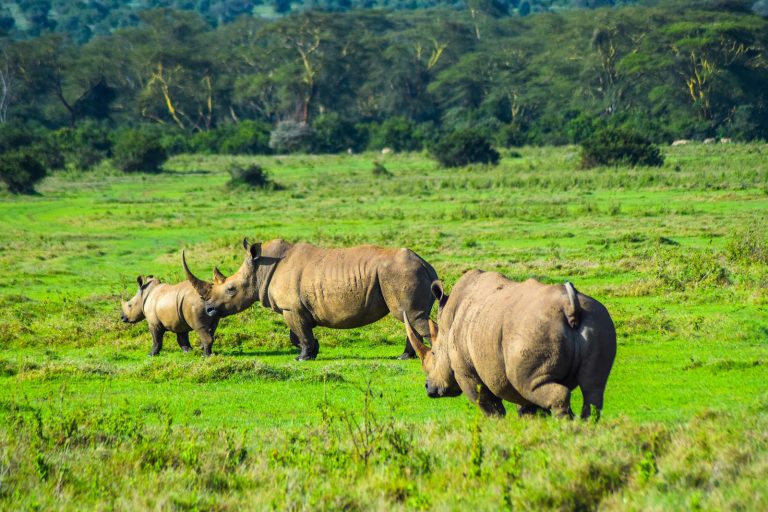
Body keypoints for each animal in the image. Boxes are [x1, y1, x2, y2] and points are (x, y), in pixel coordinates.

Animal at [182, 239, 439, 360]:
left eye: (231, 289)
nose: (209, 310)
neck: (260, 269)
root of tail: (427, 265)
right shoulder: (295, 308)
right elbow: (298, 333)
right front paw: (313, 351)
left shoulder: (291, 308)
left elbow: (300, 333)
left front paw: (302, 358)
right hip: (404, 272)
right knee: (410, 318)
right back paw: (404, 356)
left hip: (400, 273)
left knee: (412, 316)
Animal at [404, 270, 616, 419]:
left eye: (434, 354)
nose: (428, 387)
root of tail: (571, 307)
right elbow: (528, 407)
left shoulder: (466, 372)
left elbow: (490, 407)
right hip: (598, 320)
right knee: (594, 389)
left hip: (533, 328)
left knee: (535, 385)